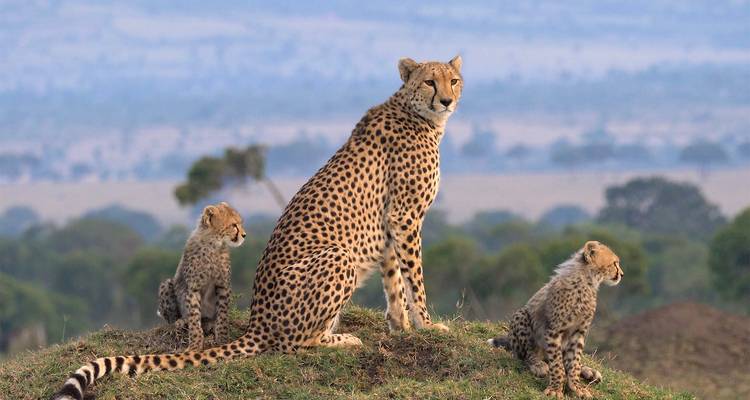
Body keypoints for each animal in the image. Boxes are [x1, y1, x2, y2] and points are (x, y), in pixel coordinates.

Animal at [157, 201, 246, 351]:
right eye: (234, 225)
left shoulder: (222, 285)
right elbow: (194, 317)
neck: (213, 244)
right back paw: (181, 321)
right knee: (173, 319)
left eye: (240, 223)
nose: (244, 235)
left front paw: (222, 339)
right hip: (167, 285)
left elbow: (222, 314)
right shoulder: (193, 288)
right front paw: (195, 344)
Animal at [487, 241, 624, 399]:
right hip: (522, 315)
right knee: (527, 354)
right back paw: (538, 364)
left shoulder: (579, 332)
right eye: (614, 263)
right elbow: (557, 364)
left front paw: (576, 386)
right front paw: (556, 388)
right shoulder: (554, 330)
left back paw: (588, 371)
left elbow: (574, 361)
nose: (621, 274)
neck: (587, 281)